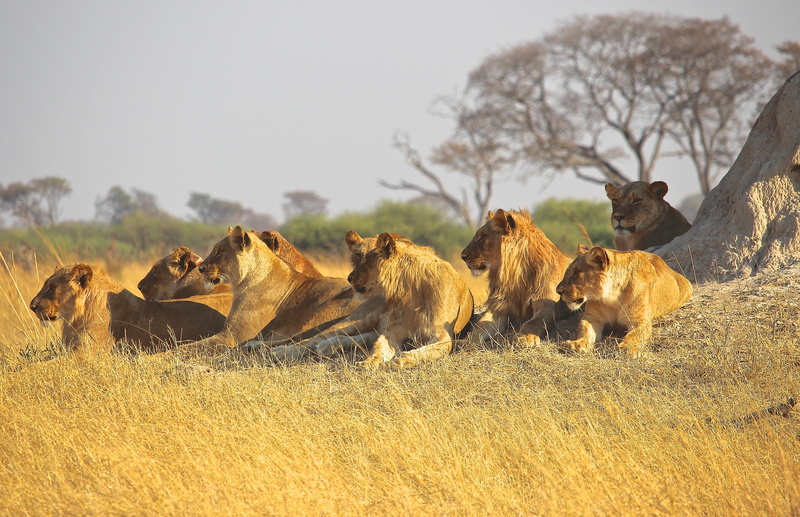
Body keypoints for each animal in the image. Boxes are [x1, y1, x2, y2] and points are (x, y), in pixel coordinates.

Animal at [172, 226, 362, 357]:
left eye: (219, 252)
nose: (201, 268)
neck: (244, 281)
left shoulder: (232, 336)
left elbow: (187, 347)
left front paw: (165, 355)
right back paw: (254, 346)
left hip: (321, 313)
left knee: (311, 340)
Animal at [345, 232, 474, 368]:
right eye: (358, 255)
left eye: (367, 260)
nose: (349, 278)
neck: (410, 291)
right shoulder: (393, 331)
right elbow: (378, 348)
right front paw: (368, 362)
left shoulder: (443, 335)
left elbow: (424, 351)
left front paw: (399, 360)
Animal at [460, 208, 575, 346]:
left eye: (482, 237)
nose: (463, 256)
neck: (516, 276)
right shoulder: (498, 308)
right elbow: (480, 326)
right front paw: (466, 341)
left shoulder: (549, 307)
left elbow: (532, 323)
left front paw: (524, 338)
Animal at [556, 245, 693, 357]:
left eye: (576, 273)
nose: (558, 291)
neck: (612, 297)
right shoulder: (592, 317)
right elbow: (584, 330)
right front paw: (576, 344)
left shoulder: (640, 321)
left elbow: (635, 335)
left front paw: (626, 348)